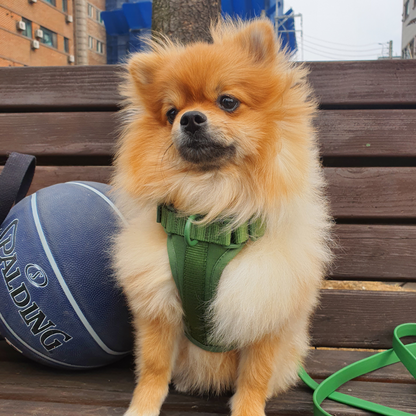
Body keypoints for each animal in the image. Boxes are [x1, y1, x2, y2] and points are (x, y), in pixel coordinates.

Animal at [112, 17, 334, 414]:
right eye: (171, 112)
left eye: (227, 102)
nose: (189, 119)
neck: (211, 208)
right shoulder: (157, 303)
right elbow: (153, 367)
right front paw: (142, 407)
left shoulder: (264, 301)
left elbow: (255, 375)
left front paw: (249, 409)